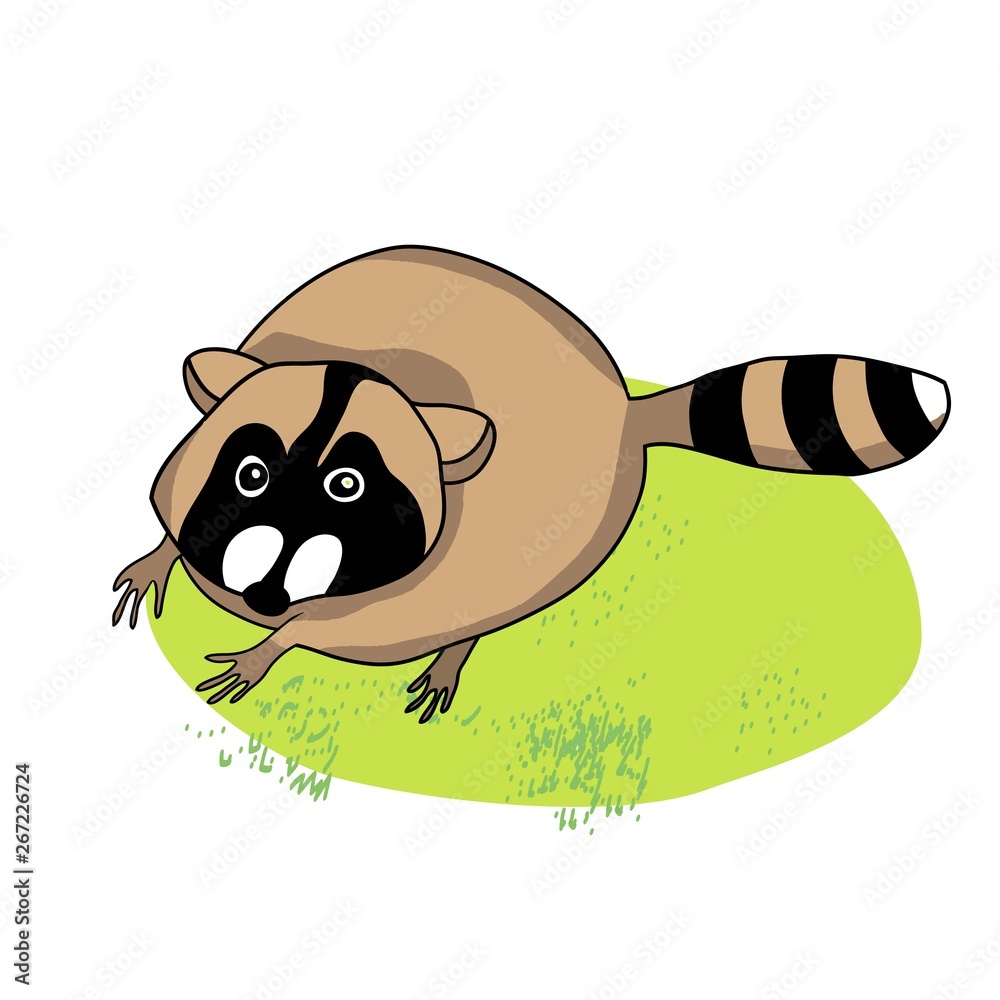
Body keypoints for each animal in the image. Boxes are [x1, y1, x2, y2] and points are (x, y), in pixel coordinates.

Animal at [113, 246, 951, 722]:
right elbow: (172, 517)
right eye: (250, 474)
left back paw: (451, 654)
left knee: (486, 608)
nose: (261, 597)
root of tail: (622, 409)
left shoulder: (397, 594)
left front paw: (270, 648)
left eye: (348, 486)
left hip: (552, 552)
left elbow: (319, 630)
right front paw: (160, 557)